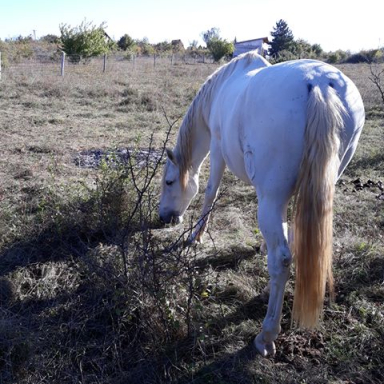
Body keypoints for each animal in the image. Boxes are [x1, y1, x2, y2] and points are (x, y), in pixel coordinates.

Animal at [158, 51, 364, 356]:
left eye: (169, 182)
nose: (164, 218)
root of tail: (319, 84)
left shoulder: (217, 150)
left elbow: (210, 192)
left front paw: (196, 236)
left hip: (273, 194)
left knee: (282, 259)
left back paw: (266, 336)